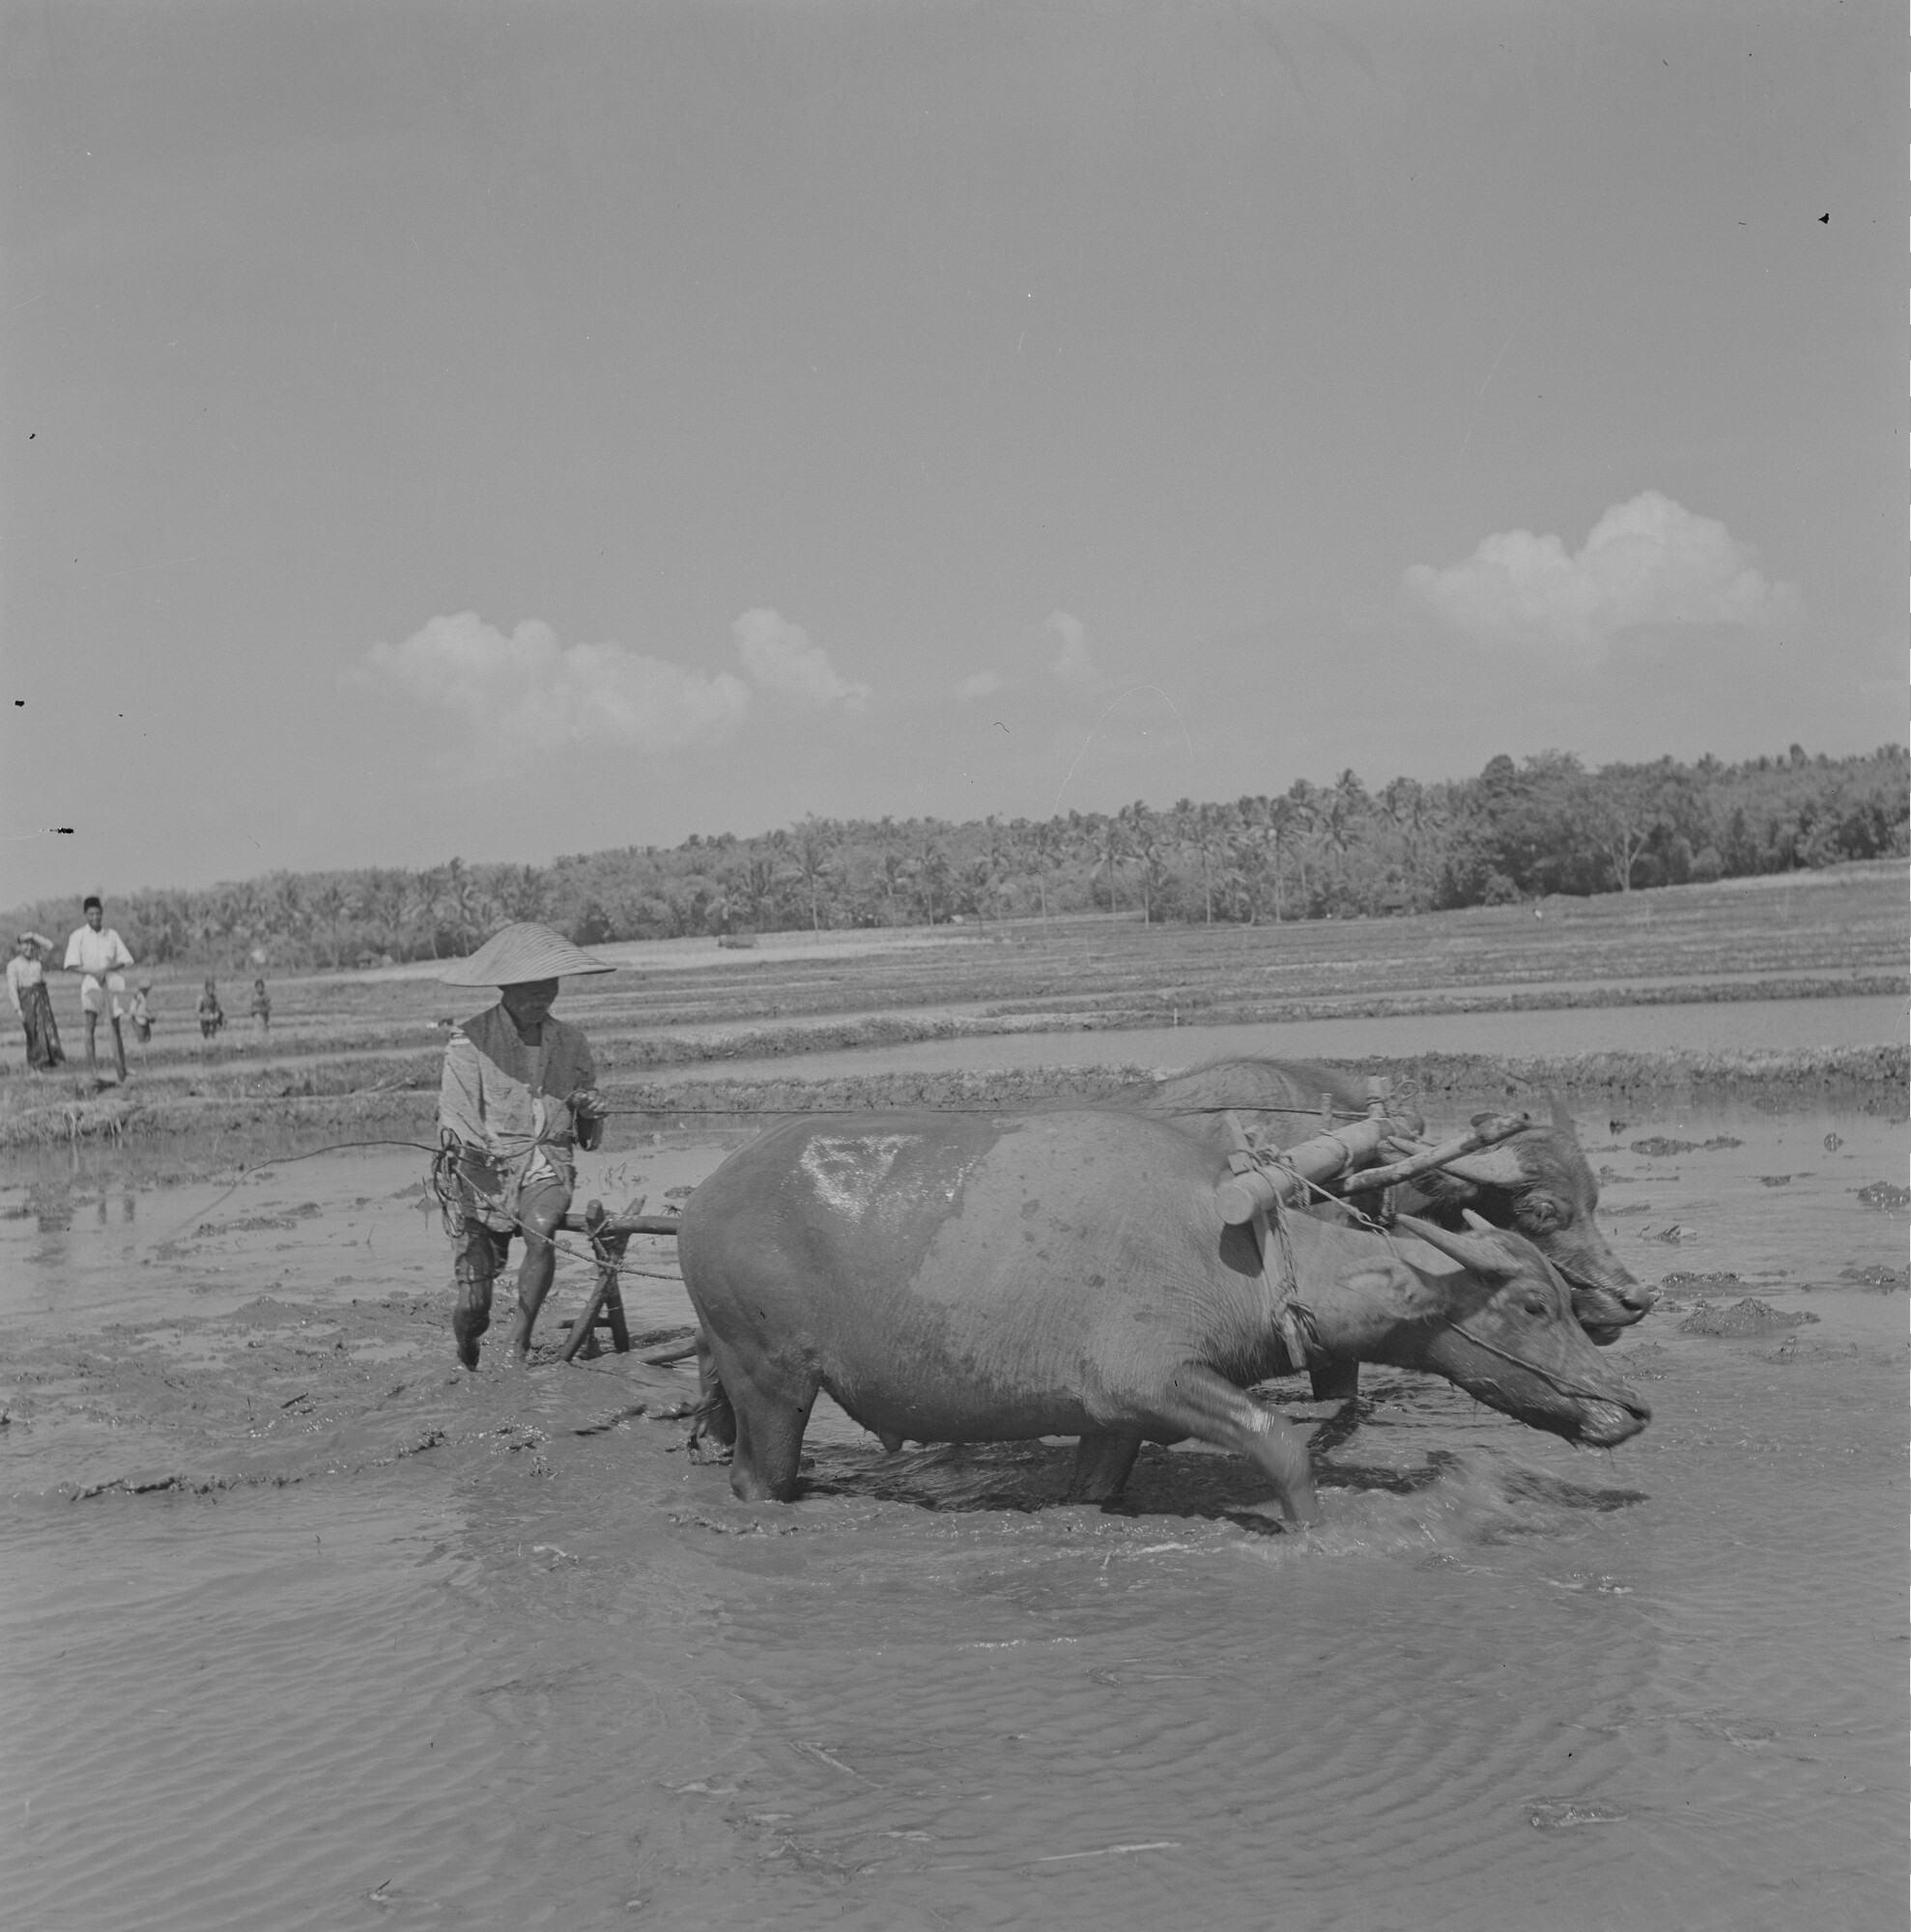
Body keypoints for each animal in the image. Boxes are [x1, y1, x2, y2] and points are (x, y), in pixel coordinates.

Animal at [680, 1113, 1646, 1530]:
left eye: (1559, 1300)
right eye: (1534, 1304)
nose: (1633, 1406)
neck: (1237, 1248)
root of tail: (699, 1199)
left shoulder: (1111, 1420)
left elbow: (1096, 1489)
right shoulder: (1155, 1381)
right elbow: (1283, 1445)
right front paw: (1316, 1532)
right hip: (770, 1383)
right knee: (757, 1478)